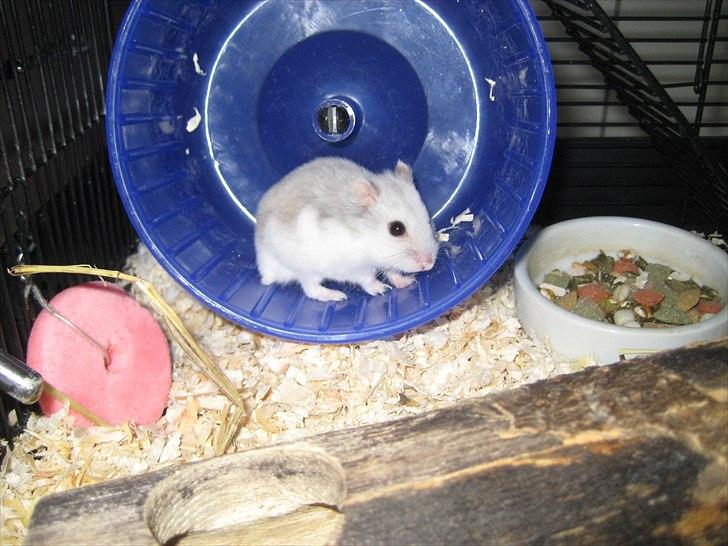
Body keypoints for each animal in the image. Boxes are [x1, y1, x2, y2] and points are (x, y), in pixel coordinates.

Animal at [254, 157, 439, 302]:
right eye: (396, 228)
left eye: (428, 219)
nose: (429, 265)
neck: (368, 239)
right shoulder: (353, 268)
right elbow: (368, 279)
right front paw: (382, 289)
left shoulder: (386, 260)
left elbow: (391, 270)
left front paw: (408, 281)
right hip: (306, 270)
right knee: (310, 290)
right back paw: (338, 296)